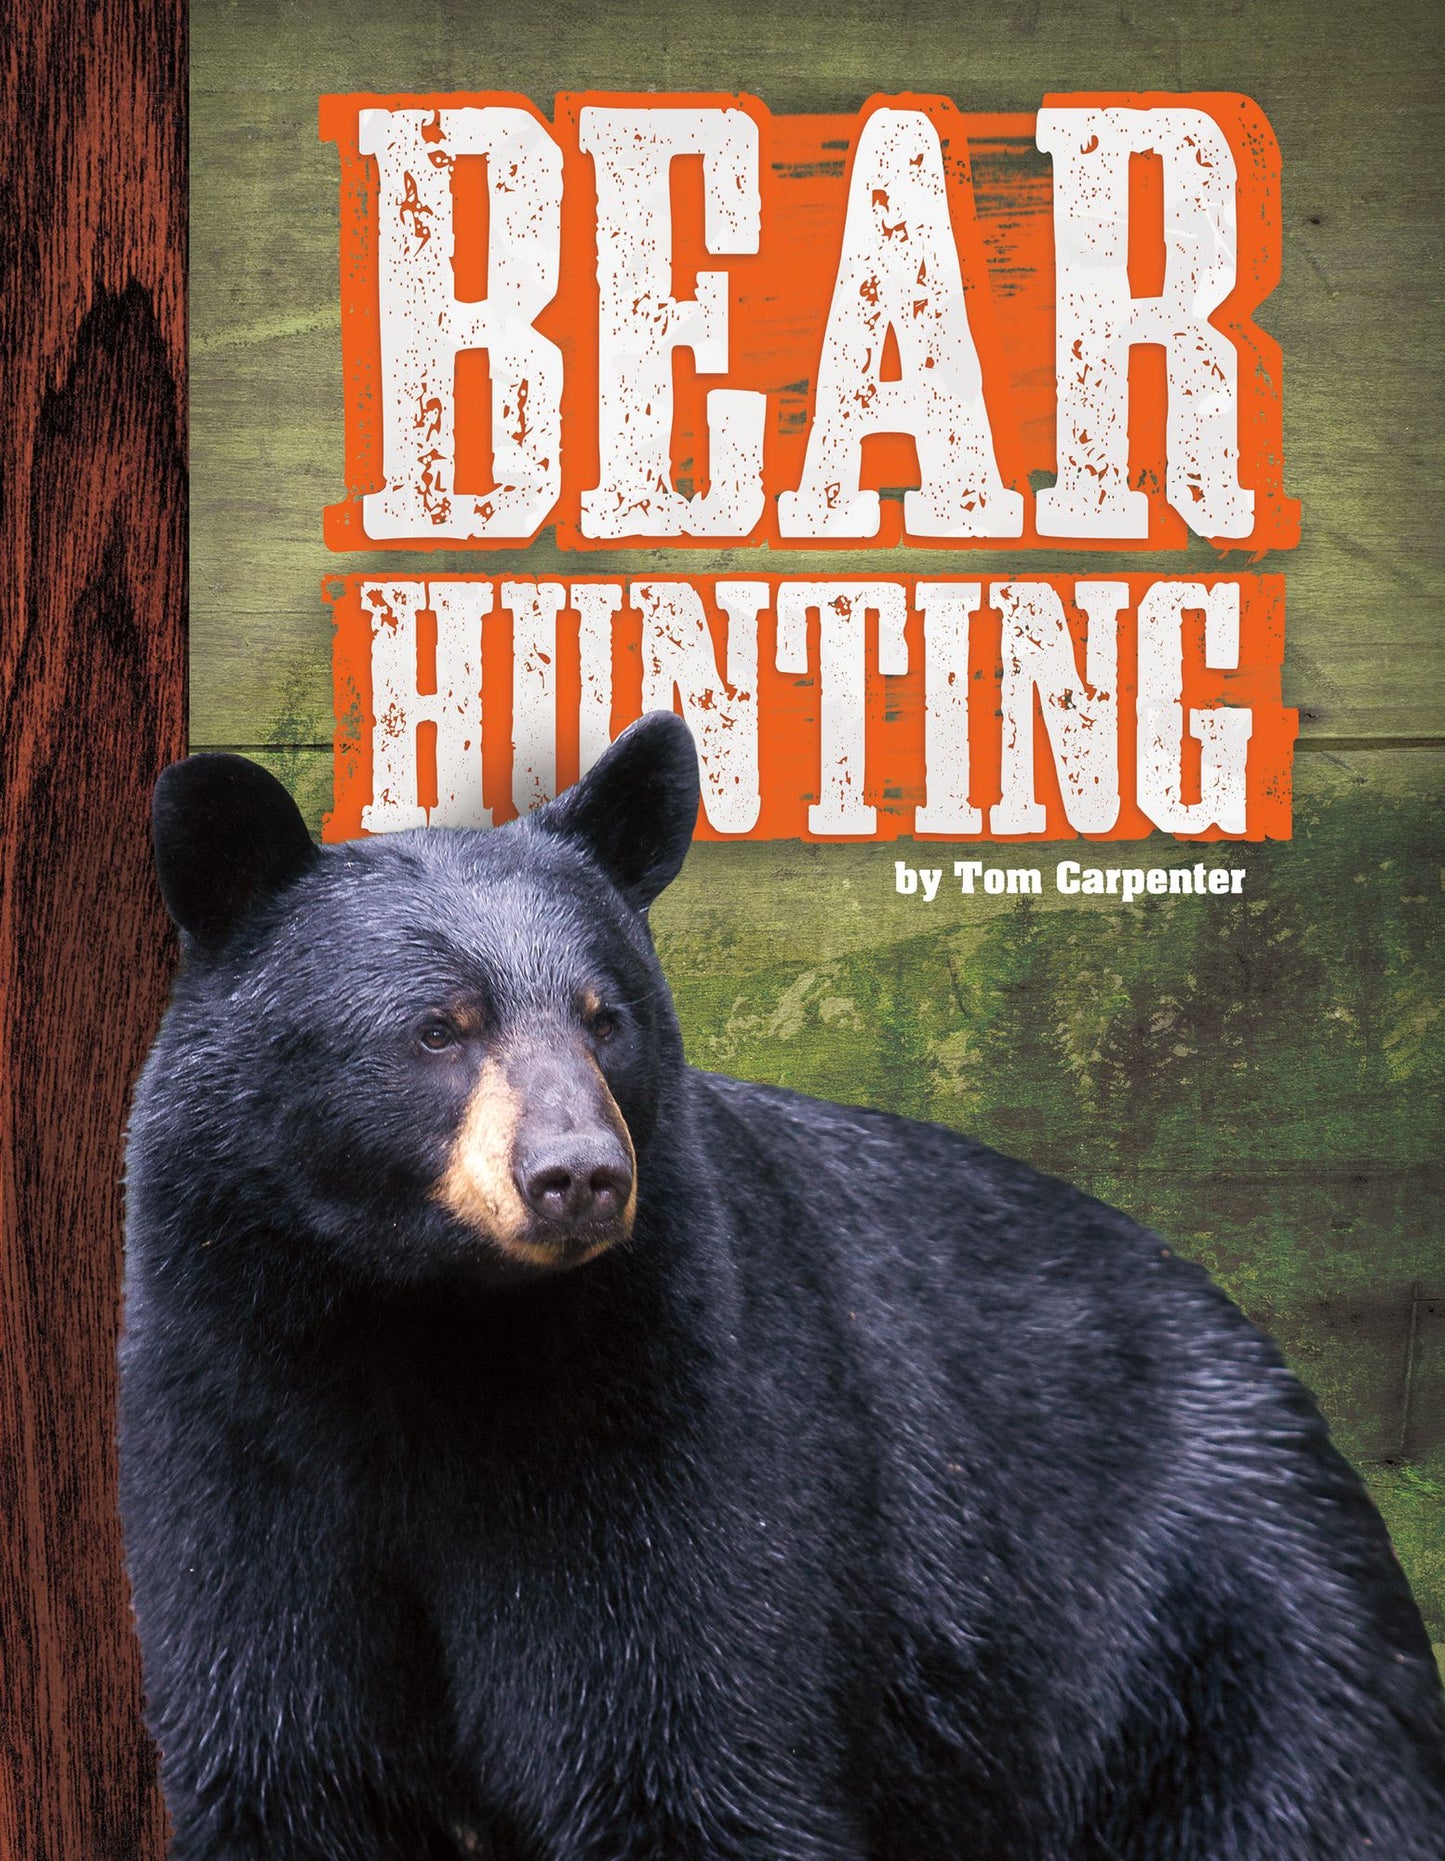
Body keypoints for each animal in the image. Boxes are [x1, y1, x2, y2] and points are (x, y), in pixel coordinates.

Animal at [119, 711, 1445, 1860]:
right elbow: (283, 1752)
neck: (428, 1328)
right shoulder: (235, 1429)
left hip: (1222, 1631)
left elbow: (683, 1736)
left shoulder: (668, 1415)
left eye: (606, 1016)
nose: (578, 1176)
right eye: (439, 1027)